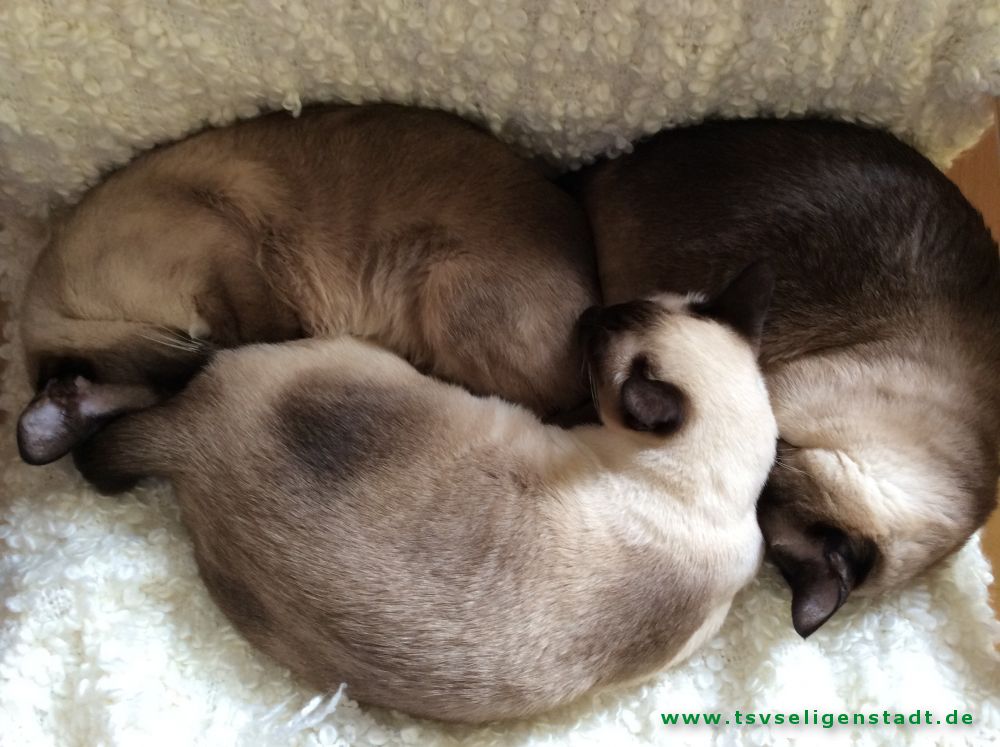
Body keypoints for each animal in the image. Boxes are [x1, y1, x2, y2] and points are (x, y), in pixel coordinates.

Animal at [17, 103, 597, 466]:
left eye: (195, 365)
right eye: (181, 382)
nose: (211, 356)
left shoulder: (230, 253)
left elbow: (263, 321)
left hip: (442, 287)